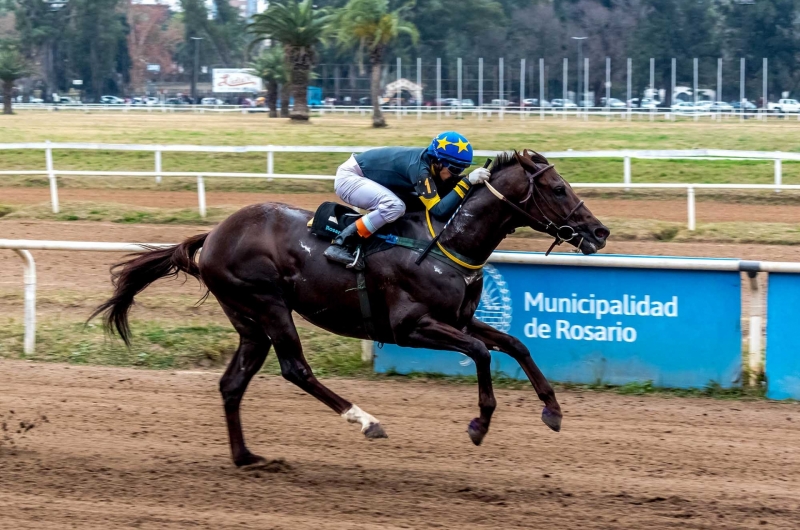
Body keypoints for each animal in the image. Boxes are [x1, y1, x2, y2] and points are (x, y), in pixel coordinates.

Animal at [92, 147, 608, 462]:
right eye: (558, 189)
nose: (599, 232)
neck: (445, 244)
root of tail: (216, 233)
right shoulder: (411, 326)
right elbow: (482, 353)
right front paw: (480, 423)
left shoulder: (459, 319)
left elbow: (515, 344)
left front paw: (553, 411)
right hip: (268, 304)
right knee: (296, 369)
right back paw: (366, 421)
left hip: (248, 321)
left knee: (232, 383)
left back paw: (246, 457)